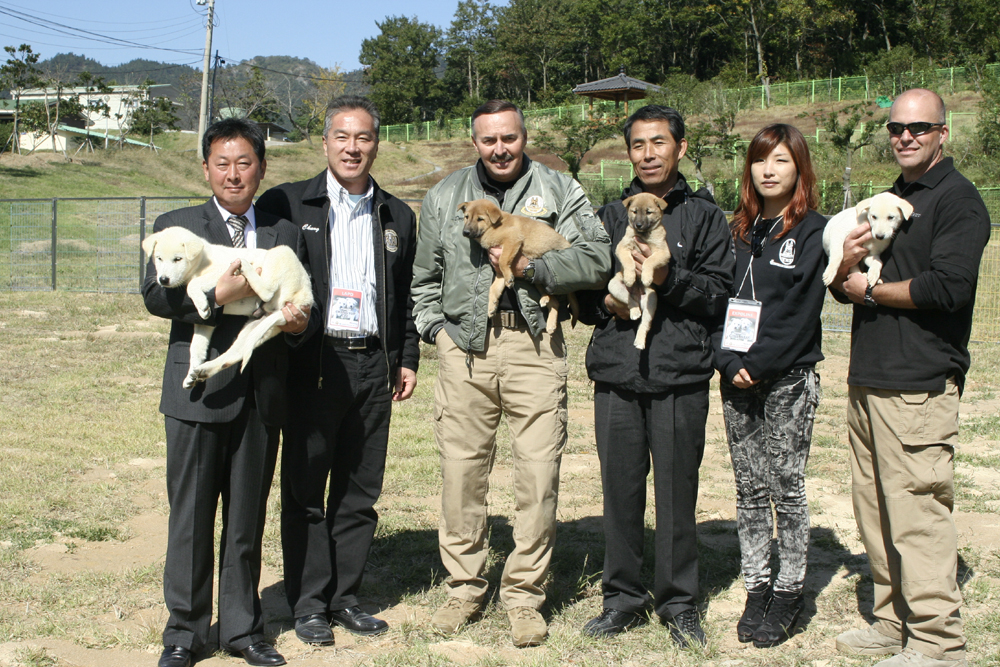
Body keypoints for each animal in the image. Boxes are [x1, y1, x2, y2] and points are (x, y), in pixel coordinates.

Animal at [142, 226, 312, 388]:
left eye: (178, 259)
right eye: (158, 258)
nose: (163, 280)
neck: (201, 262)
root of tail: (307, 297)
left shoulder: (222, 271)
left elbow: (194, 283)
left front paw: (201, 302)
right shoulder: (205, 324)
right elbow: (197, 347)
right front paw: (191, 373)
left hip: (281, 252)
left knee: (267, 291)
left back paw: (245, 265)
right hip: (258, 326)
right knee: (237, 352)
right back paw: (204, 370)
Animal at [460, 198, 580, 334]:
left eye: (480, 219)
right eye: (466, 217)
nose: (465, 232)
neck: (492, 226)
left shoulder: (512, 239)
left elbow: (503, 261)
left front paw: (509, 279)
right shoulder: (499, 274)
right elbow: (493, 289)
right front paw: (491, 307)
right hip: (539, 281)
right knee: (554, 302)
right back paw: (549, 320)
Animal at [608, 192, 672, 350]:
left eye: (649, 212)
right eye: (634, 211)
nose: (638, 225)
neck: (644, 235)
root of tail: (638, 295)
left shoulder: (663, 252)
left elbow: (649, 261)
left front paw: (646, 277)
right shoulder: (622, 247)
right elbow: (629, 261)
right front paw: (630, 276)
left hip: (651, 299)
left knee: (645, 324)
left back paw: (640, 341)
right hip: (614, 286)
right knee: (630, 300)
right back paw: (635, 310)